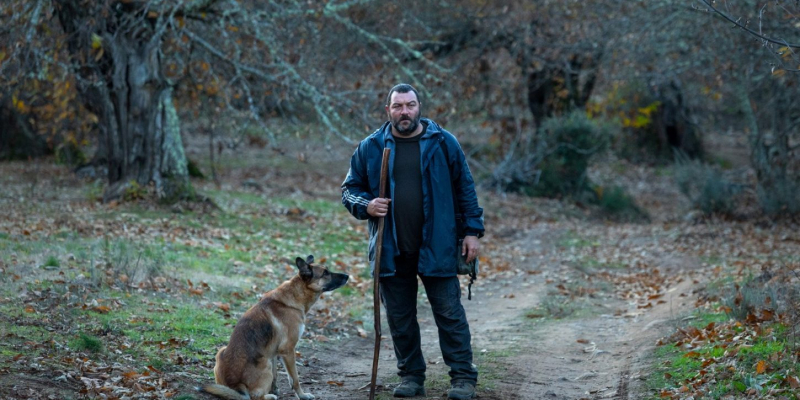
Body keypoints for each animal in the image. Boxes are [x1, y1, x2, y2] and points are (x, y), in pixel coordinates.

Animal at [198, 255, 348, 398]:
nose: (347, 276)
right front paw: (302, 395)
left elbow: (276, 377)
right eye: (325, 273)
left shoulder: (274, 352)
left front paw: (275, 390)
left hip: (224, 351)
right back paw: (269, 396)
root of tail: (235, 385)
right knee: (254, 397)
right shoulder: (288, 350)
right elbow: (294, 379)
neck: (296, 295)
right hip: (265, 362)